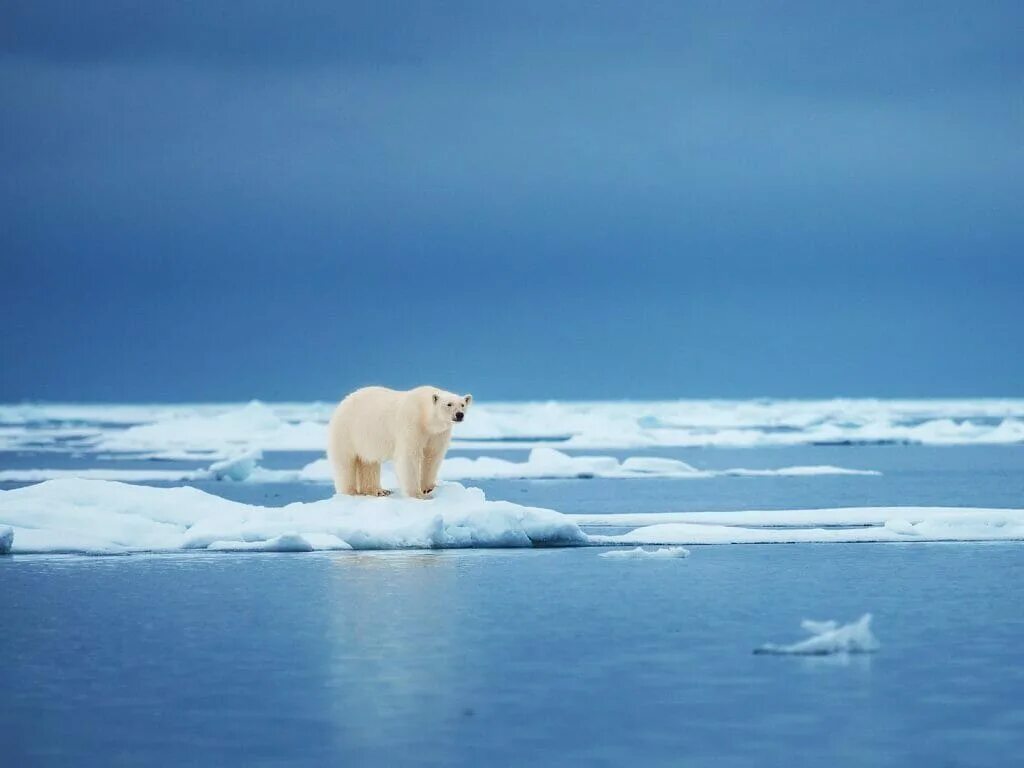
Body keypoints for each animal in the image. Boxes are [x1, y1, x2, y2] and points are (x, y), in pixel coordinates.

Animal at [327, 385, 471, 499]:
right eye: (449, 404)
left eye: (462, 404)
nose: (459, 415)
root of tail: (343, 402)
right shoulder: (412, 424)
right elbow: (410, 456)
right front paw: (417, 495)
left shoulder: (437, 434)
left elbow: (433, 456)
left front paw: (427, 488)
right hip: (347, 431)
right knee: (345, 463)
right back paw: (351, 492)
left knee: (369, 462)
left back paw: (378, 491)